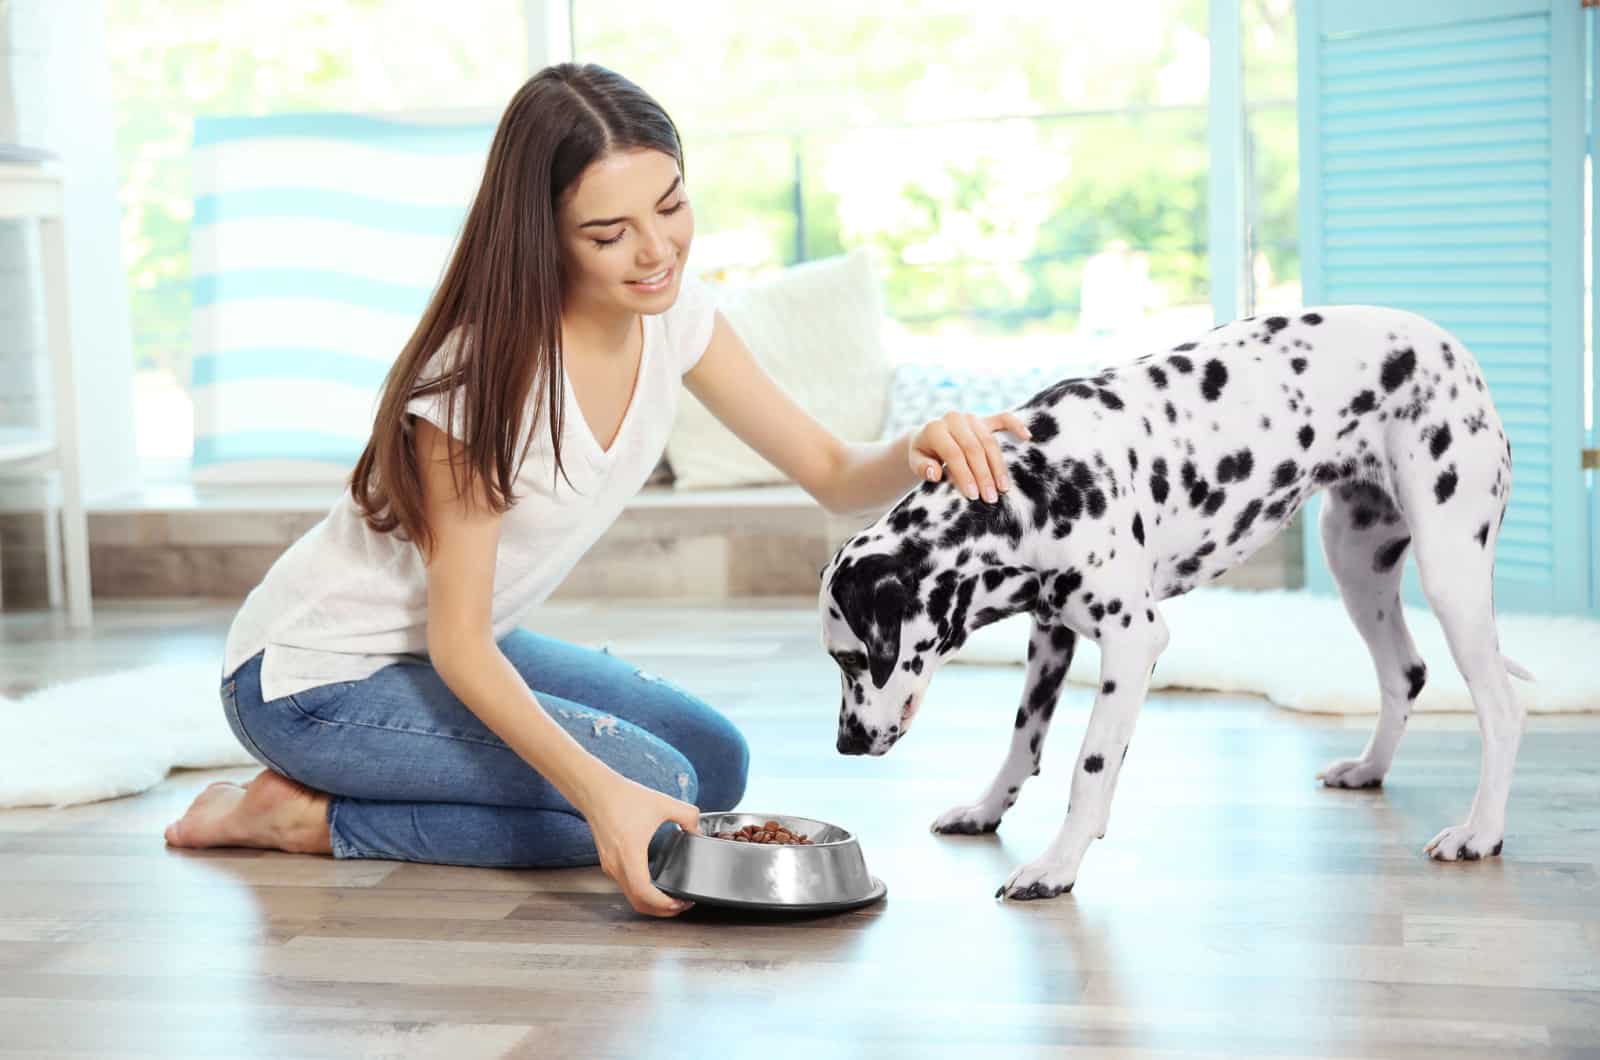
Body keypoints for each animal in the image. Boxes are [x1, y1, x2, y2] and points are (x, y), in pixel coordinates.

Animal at [819, 307, 1529, 903]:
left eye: (852, 661)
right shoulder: (1050, 635)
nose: (845, 744)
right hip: (1356, 561)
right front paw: (986, 810)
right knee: (1404, 673)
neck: (1033, 485)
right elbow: (1023, 742)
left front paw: (1057, 865)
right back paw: (1369, 769)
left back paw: (1481, 832)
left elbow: (1089, 768)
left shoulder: (1132, 643)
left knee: (1501, 709)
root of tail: (1452, 348)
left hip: (1450, 574)